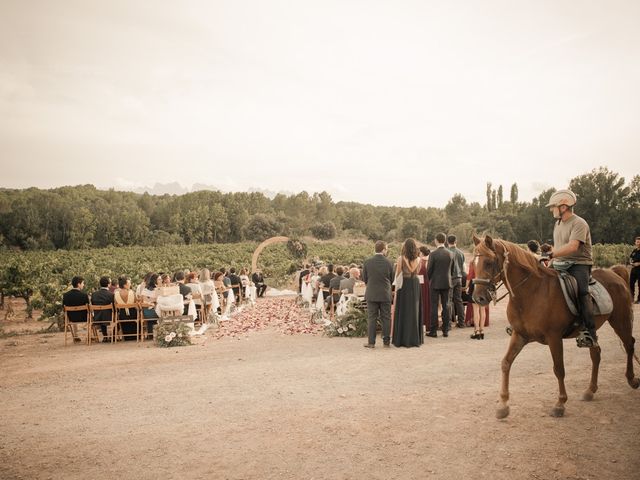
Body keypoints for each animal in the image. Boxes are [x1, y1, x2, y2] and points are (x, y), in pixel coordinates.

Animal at [470, 234, 636, 418]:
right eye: (473, 263)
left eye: (489, 262)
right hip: (595, 331)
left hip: (620, 321)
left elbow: (559, 369)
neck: (531, 292)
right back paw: (590, 390)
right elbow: (506, 363)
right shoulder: (519, 335)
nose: (478, 298)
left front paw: (560, 404)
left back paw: (632, 379)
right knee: (596, 355)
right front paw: (503, 405)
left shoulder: (554, 337)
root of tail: (615, 274)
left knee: (629, 345)